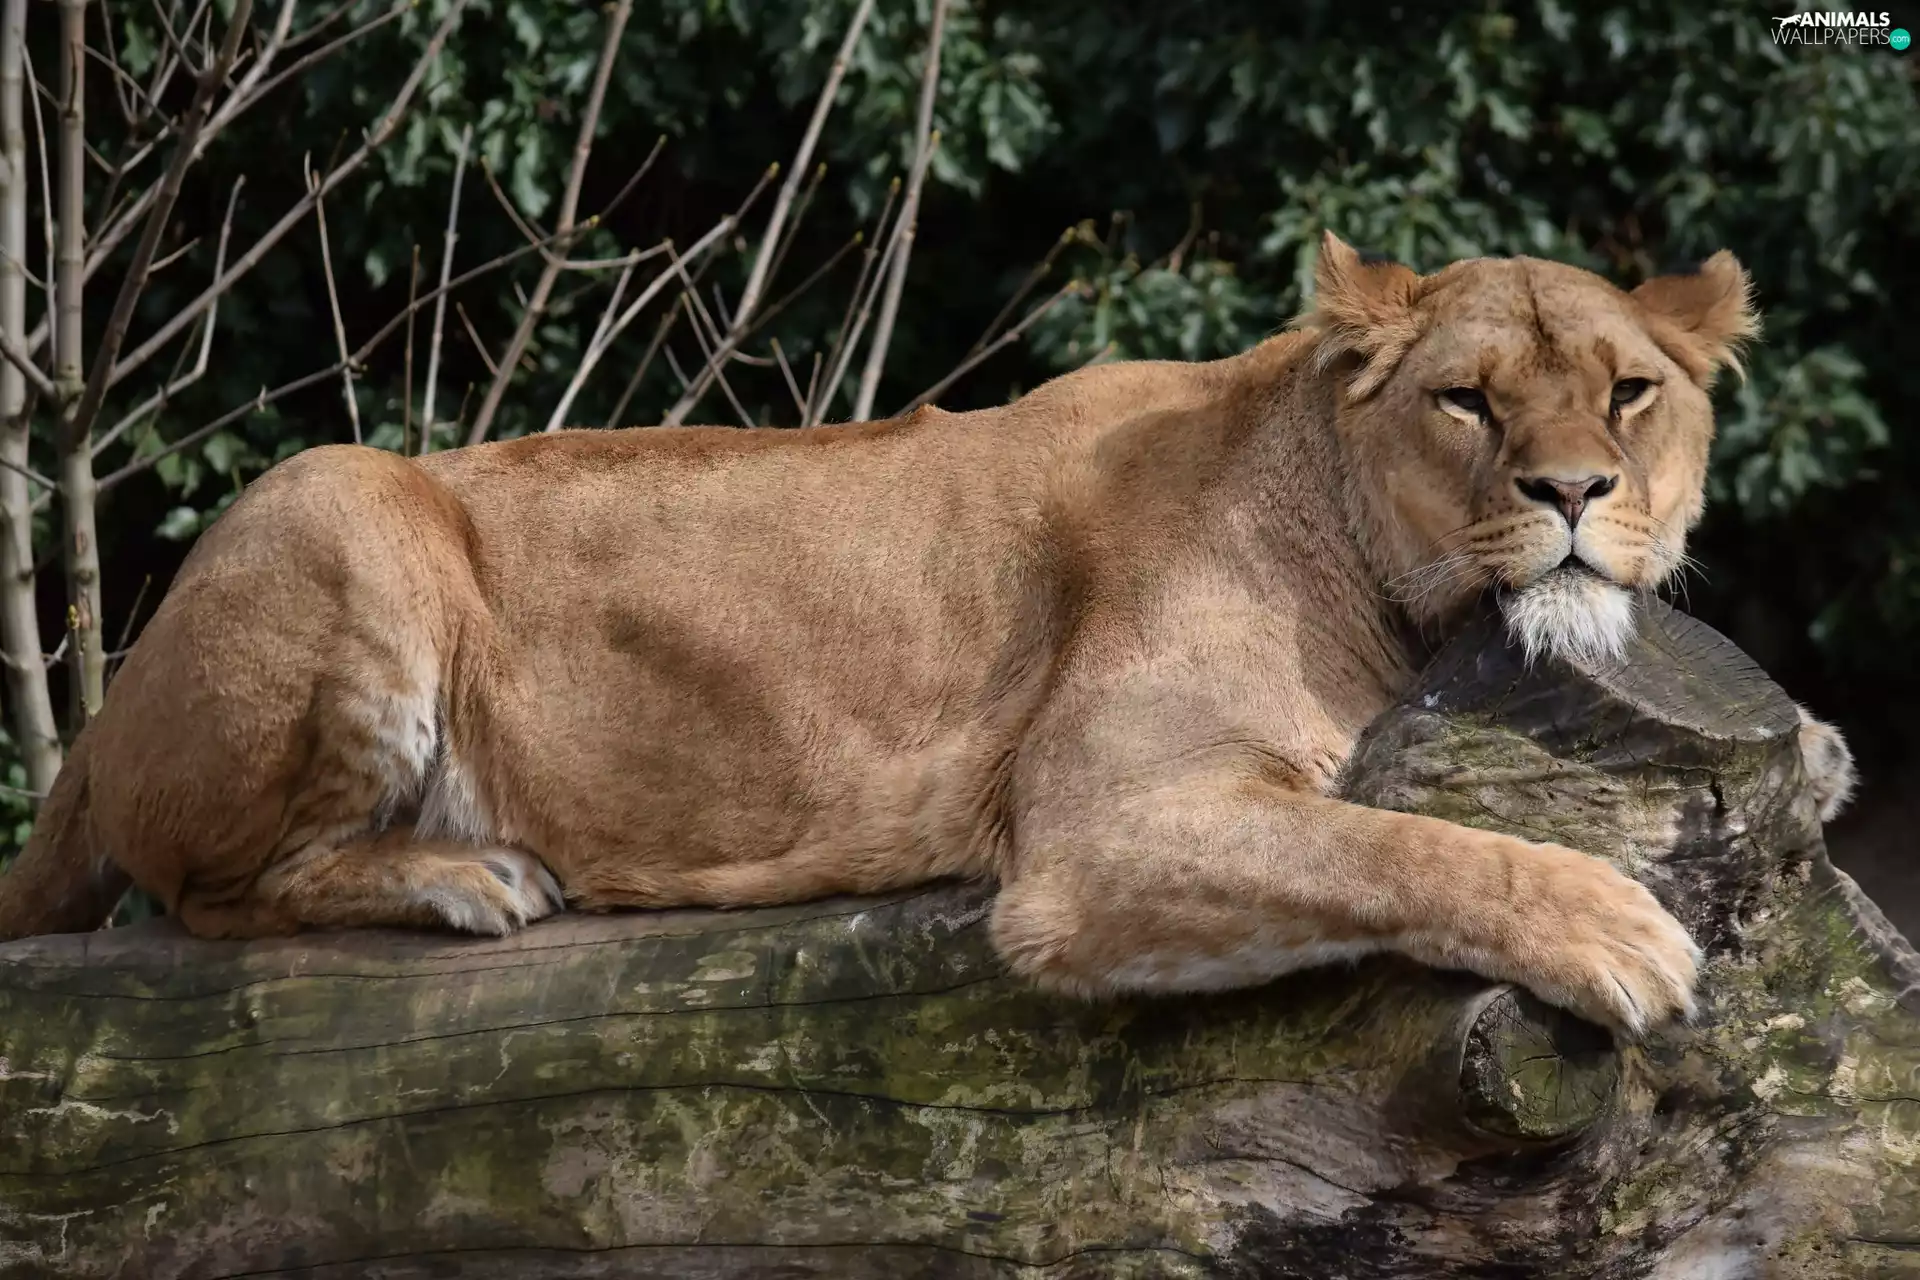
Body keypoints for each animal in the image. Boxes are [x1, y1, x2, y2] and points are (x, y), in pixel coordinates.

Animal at [0, 233, 1854, 1039]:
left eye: (1631, 390)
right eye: (1469, 401)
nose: (1573, 489)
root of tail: (98, 724)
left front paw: (1824, 753)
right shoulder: (1097, 834)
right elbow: (1396, 846)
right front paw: (1619, 933)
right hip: (337, 499)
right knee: (207, 893)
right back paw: (467, 875)